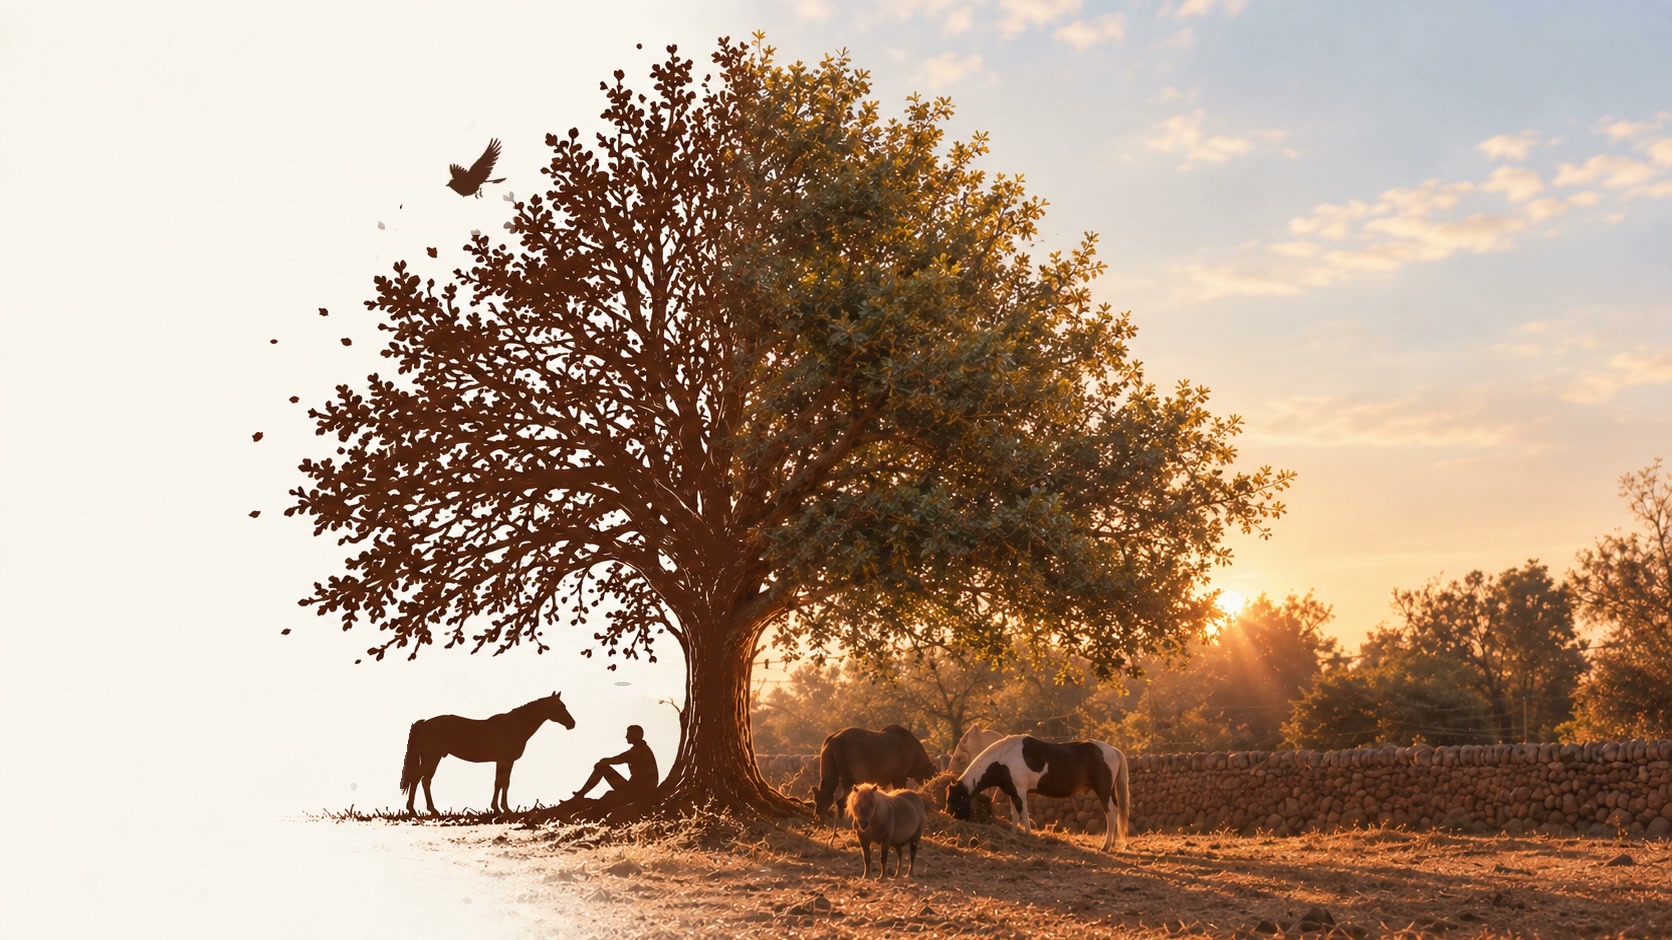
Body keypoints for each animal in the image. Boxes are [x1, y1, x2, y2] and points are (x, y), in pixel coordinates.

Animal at [399, 691, 576, 815]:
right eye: (560, 707)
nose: (572, 724)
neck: (516, 726)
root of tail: (422, 724)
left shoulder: (504, 761)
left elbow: (501, 783)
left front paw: (499, 808)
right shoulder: (505, 761)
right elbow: (502, 783)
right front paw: (502, 809)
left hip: (432, 759)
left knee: (423, 781)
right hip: (432, 758)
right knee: (419, 780)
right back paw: (418, 810)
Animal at [945, 734, 1130, 852]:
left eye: (955, 800)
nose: (950, 816)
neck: (1003, 758)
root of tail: (1113, 750)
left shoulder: (1020, 791)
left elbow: (1024, 813)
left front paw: (1028, 835)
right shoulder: (1013, 793)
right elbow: (1014, 815)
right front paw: (1013, 835)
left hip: (1103, 791)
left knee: (1110, 814)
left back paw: (1106, 846)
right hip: (1109, 791)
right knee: (1114, 813)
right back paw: (1112, 843)